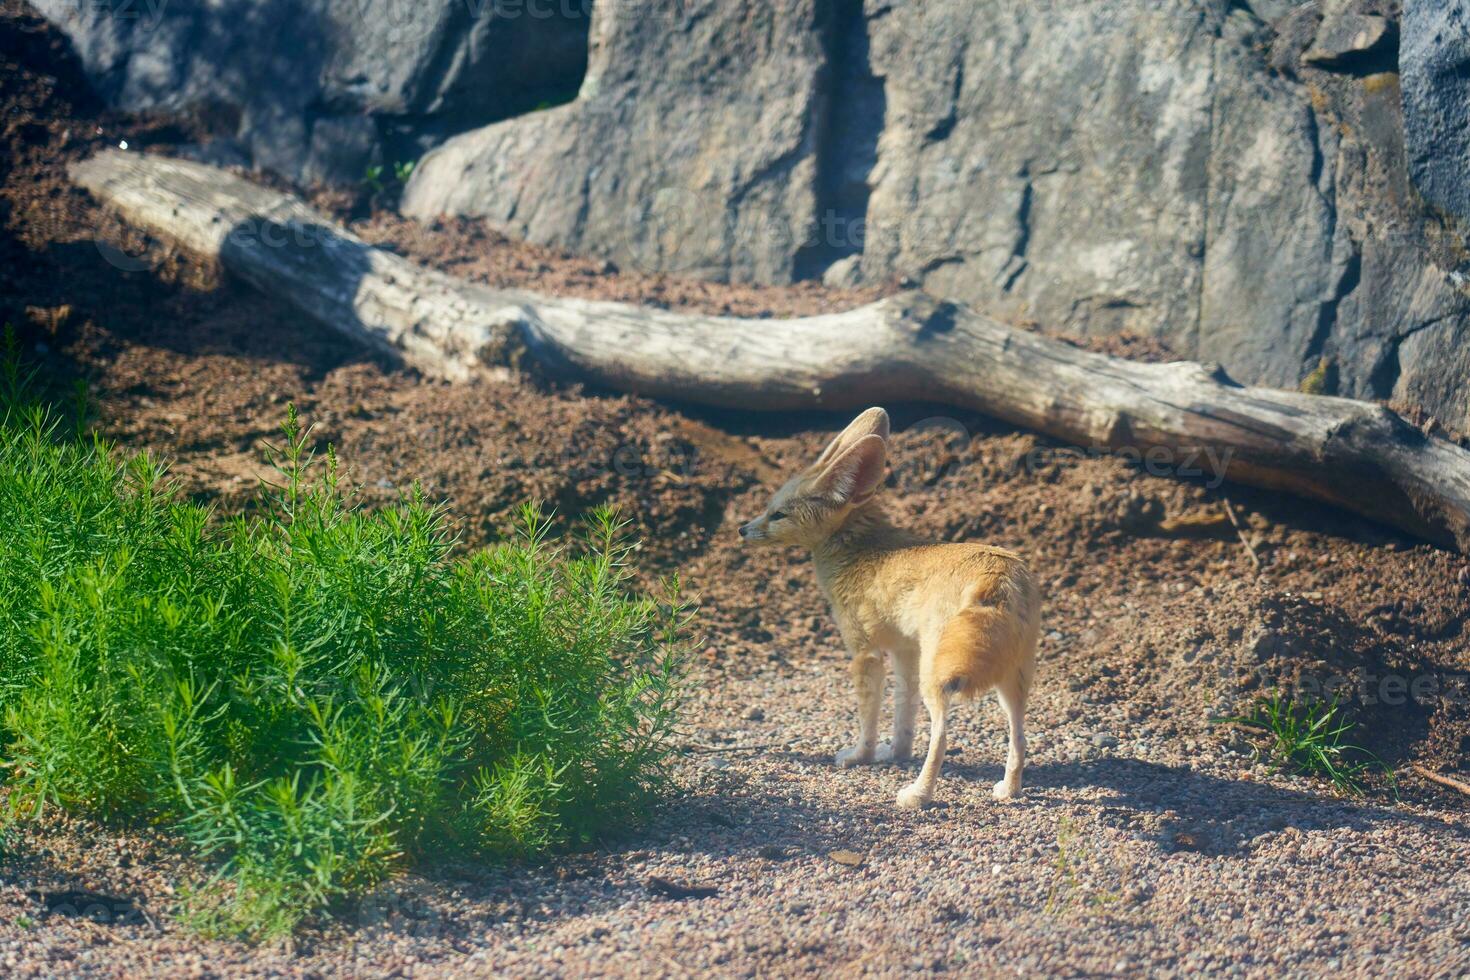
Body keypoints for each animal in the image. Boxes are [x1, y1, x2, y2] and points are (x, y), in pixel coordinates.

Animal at [740, 411, 1040, 811]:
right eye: (769, 509)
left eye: (778, 515)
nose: (742, 529)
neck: (858, 548)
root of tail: (999, 575)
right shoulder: (904, 650)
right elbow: (903, 714)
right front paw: (896, 753)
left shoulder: (865, 653)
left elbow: (869, 717)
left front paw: (861, 756)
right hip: (1011, 679)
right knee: (1020, 738)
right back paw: (1009, 789)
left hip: (940, 676)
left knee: (942, 737)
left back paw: (918, 794)